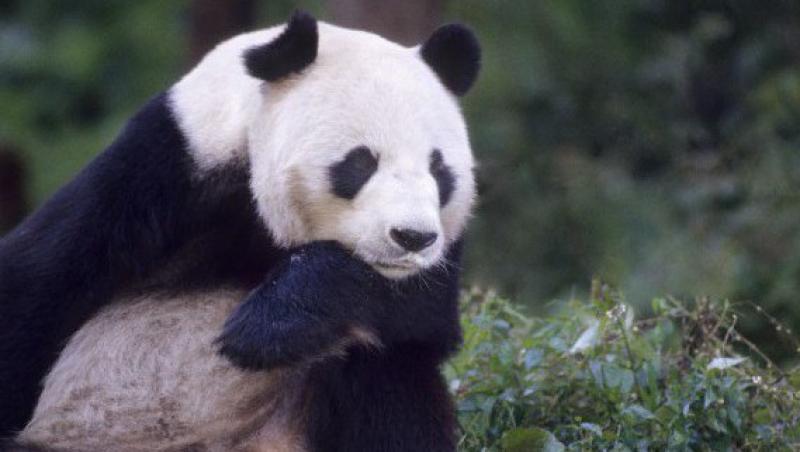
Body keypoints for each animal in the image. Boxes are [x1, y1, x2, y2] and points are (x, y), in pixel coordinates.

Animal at [0, 10, 482, 452]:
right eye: (361, 163)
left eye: (439, 170)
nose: (413, 237)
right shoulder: (164, 166)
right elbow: (37, 279)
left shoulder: (438, 255)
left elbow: (423, 312)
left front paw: (269, 326)